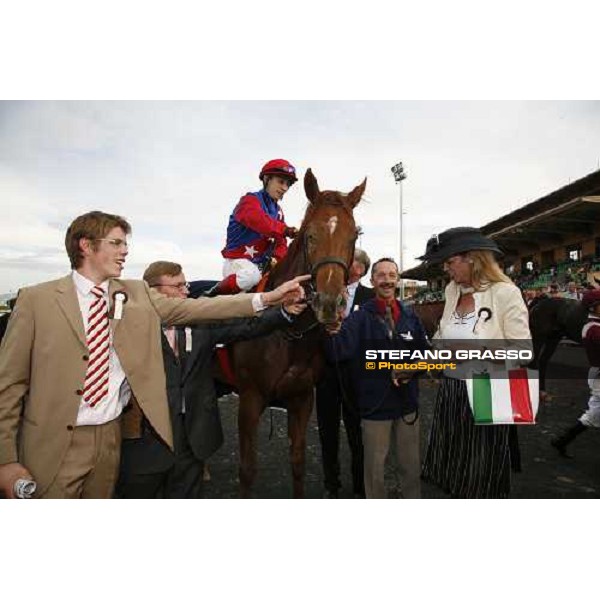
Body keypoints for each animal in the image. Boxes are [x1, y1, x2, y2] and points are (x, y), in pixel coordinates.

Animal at [233, 168, 366, 496]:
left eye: (354, 236)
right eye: (309, 235)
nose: (330, 304)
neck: (288, 334)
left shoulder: (302, 398)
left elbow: (297, 461)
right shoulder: (250, 398)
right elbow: (247, 469)